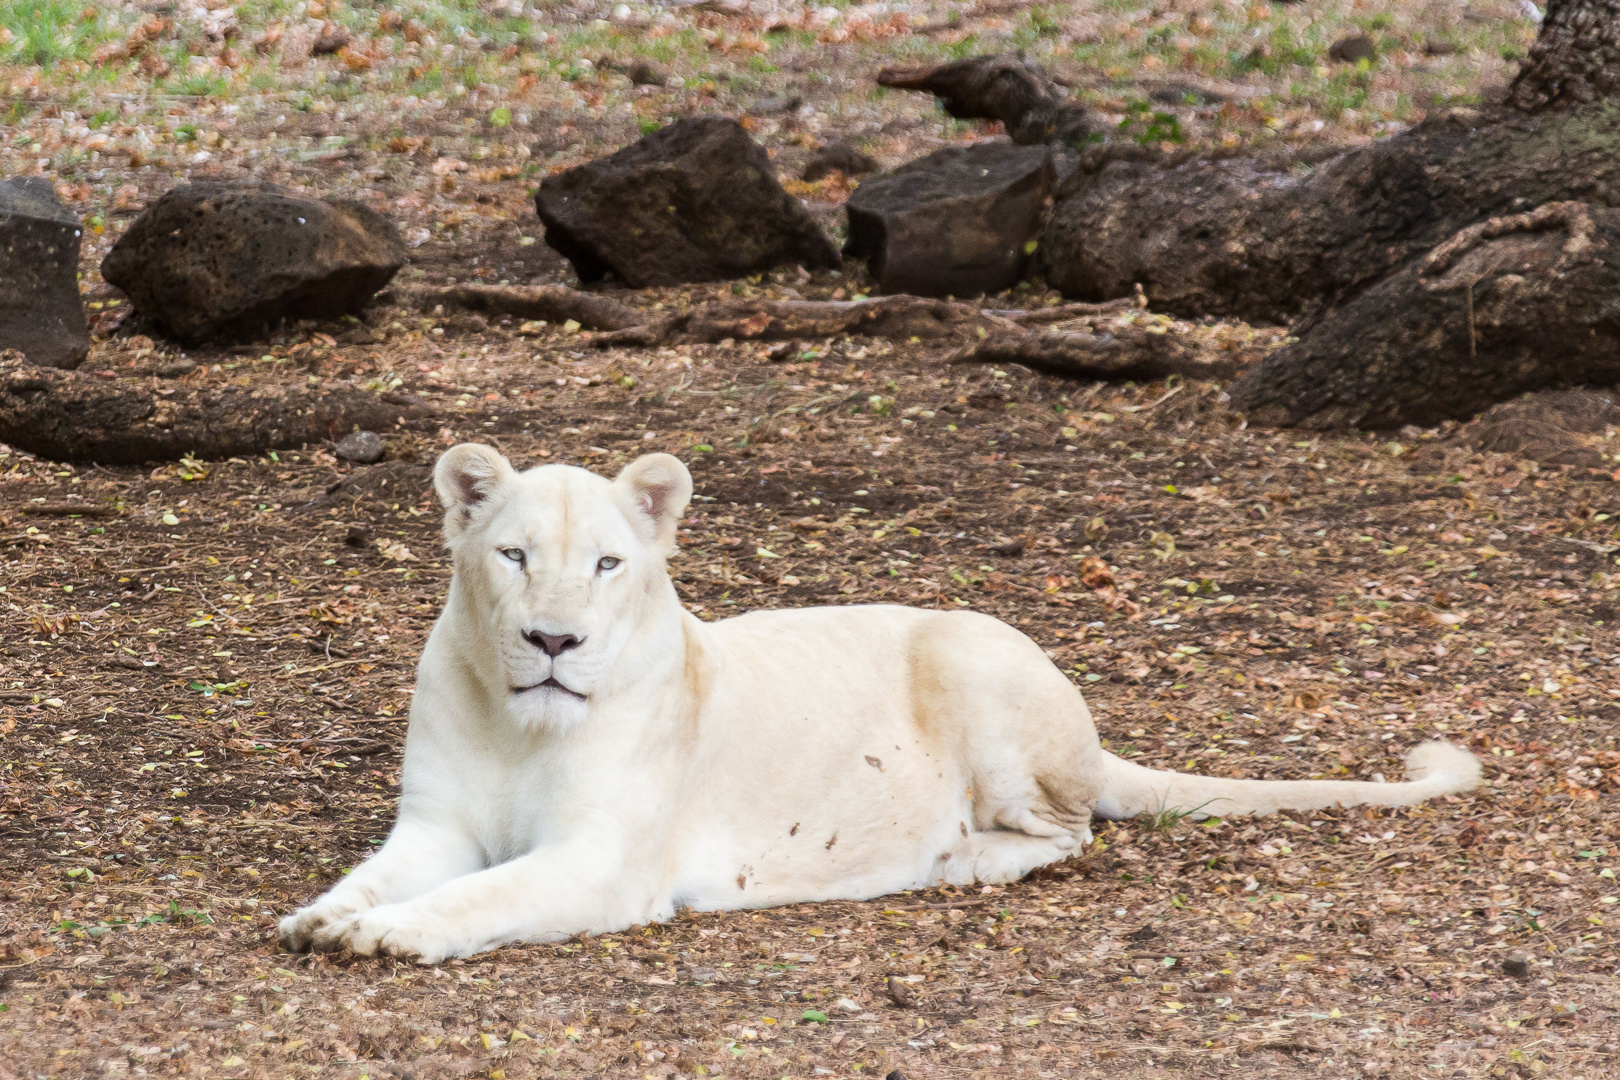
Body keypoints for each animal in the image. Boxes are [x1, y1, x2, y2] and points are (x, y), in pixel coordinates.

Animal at [281, 446, 1483, 965]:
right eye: (515, 556)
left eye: (610, 564)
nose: (552, 643)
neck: (521, 725)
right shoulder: (435, 825)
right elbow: (383, 874)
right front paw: (327, 916)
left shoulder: (604, 862)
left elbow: (482, 897)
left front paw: (385, 936)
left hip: (972, 660)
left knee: (1069, 831)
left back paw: (955, 859)